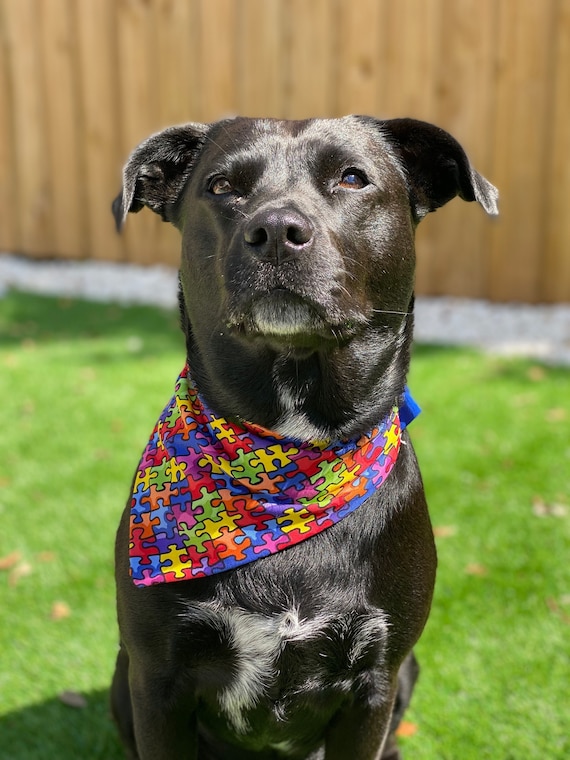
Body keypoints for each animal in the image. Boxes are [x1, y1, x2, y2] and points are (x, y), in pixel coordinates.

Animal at [108, 114, 494, 760]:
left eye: (353, 178)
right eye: (221, 186)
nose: (276, 232)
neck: (289, 457)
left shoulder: (374, 684)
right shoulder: (156, 680)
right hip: (121, 676)